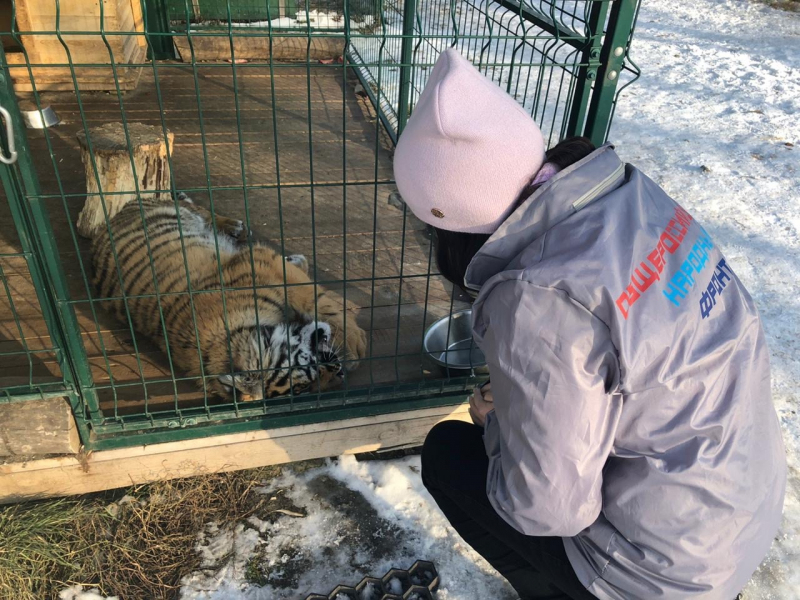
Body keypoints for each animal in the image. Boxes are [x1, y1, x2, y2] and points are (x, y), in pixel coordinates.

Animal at [88, 193, 367, 401]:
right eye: (307, 385)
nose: (339, 372)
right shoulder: (264, 263)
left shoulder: (263, 262)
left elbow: (317, 297)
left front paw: (353, 342)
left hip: (179, 213)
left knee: (199, 208)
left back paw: (235, 226)